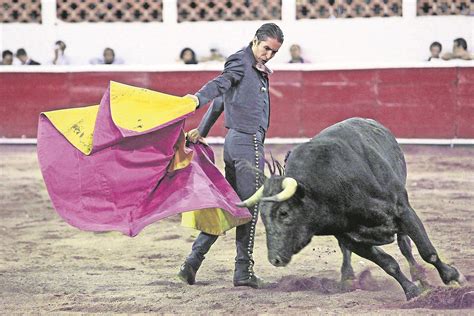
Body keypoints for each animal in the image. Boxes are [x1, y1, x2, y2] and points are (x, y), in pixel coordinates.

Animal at [239, 117, 464, 300]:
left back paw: (420, 276)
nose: (274, 259)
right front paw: (411, 291)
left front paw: (452, 277)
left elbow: (427, 252)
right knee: (349, 253)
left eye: (284, 213)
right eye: (263, 218)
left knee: (405, 245)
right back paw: (348, 278)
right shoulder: (349, 237)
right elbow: (388, 263)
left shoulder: (403, 211)